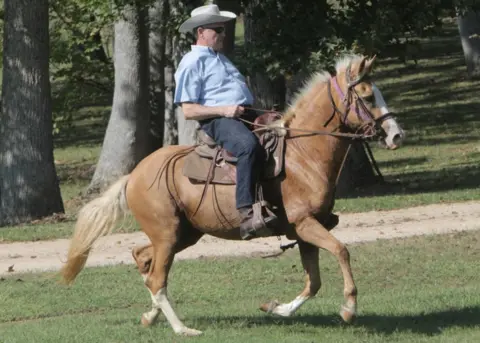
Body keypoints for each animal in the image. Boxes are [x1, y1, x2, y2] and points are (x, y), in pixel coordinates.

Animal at [61, 55, 404, 338]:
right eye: (368, 96)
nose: (396, 135)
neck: (302, 156)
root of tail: (133, 175)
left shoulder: (306, 229)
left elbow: (313, 282)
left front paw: (276, 308)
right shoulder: (305, 224)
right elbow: (342, 251)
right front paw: (349, 309)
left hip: (182, 234)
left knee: (143, 259)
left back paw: (150, 316)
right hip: (168, 234)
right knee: (157, 277)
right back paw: (183, 329)